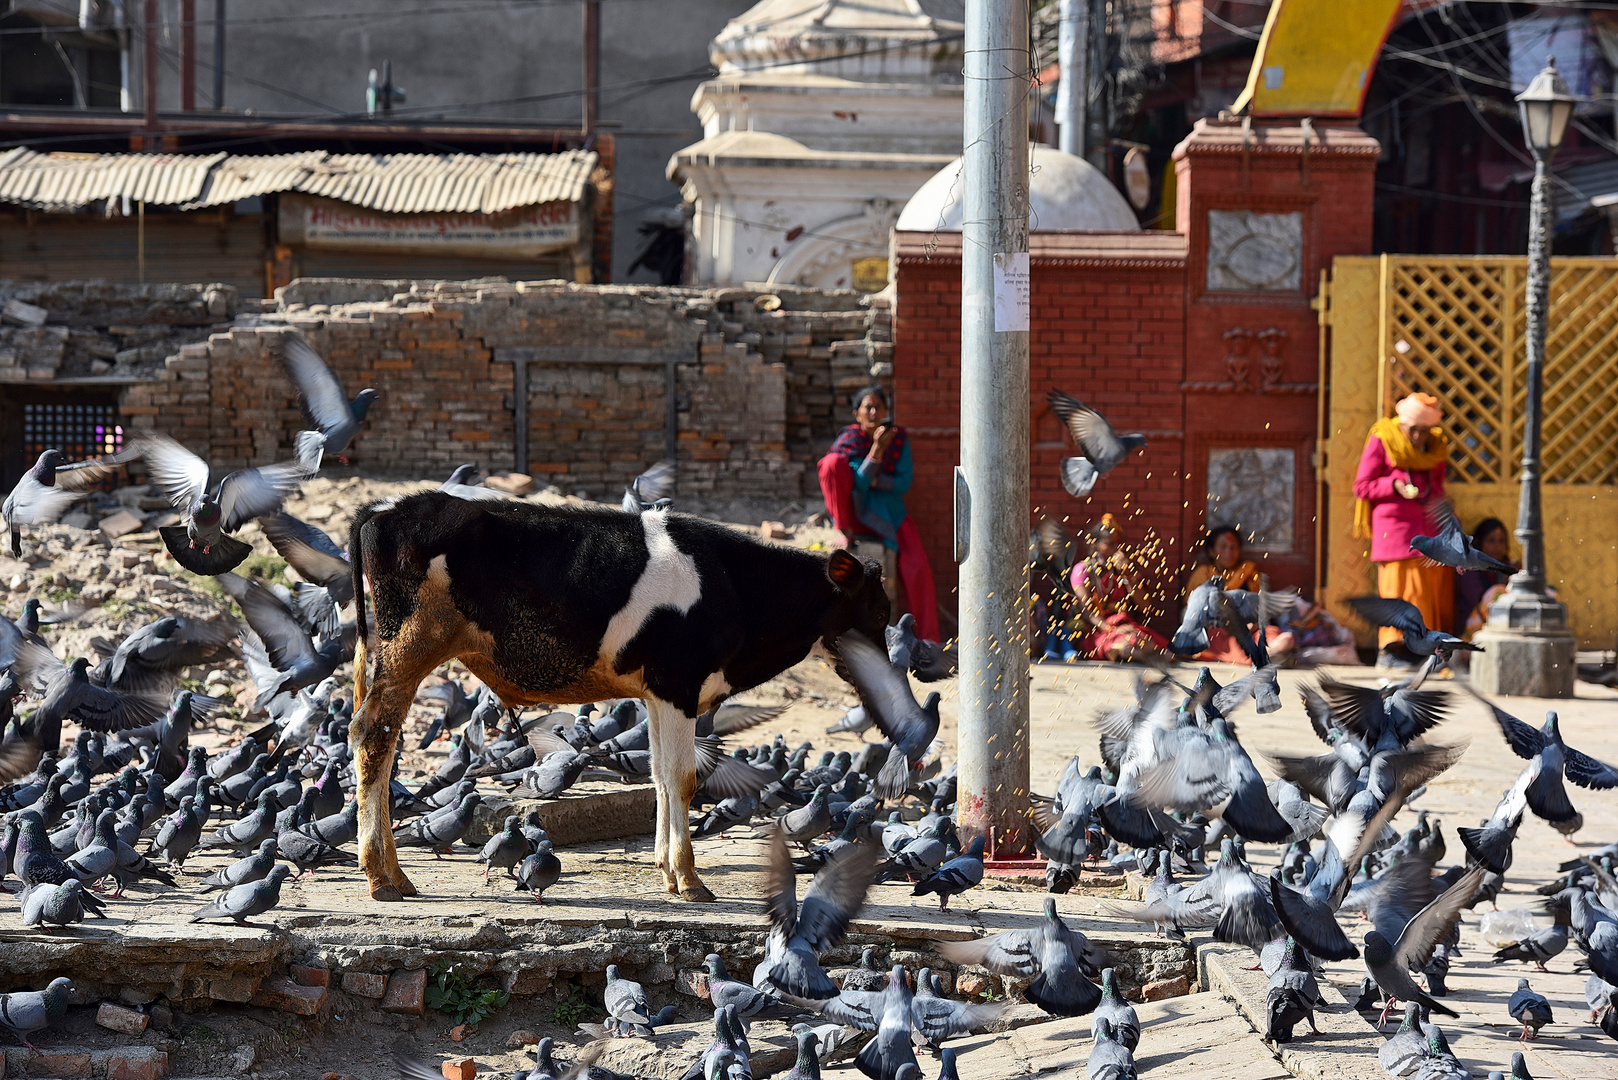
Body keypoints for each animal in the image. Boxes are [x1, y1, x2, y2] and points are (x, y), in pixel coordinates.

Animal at [346, 492, 893, 906]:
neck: (734, 586)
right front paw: (689, 879)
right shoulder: (678, 683)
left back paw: (393, 874)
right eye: (880, 612)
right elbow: (683, 778)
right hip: (409, 644)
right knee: (373, 736)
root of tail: (388, 508)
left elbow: (660, 775)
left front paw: (667, 870)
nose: (890, 669)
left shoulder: (657, 693)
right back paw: (381, 877)